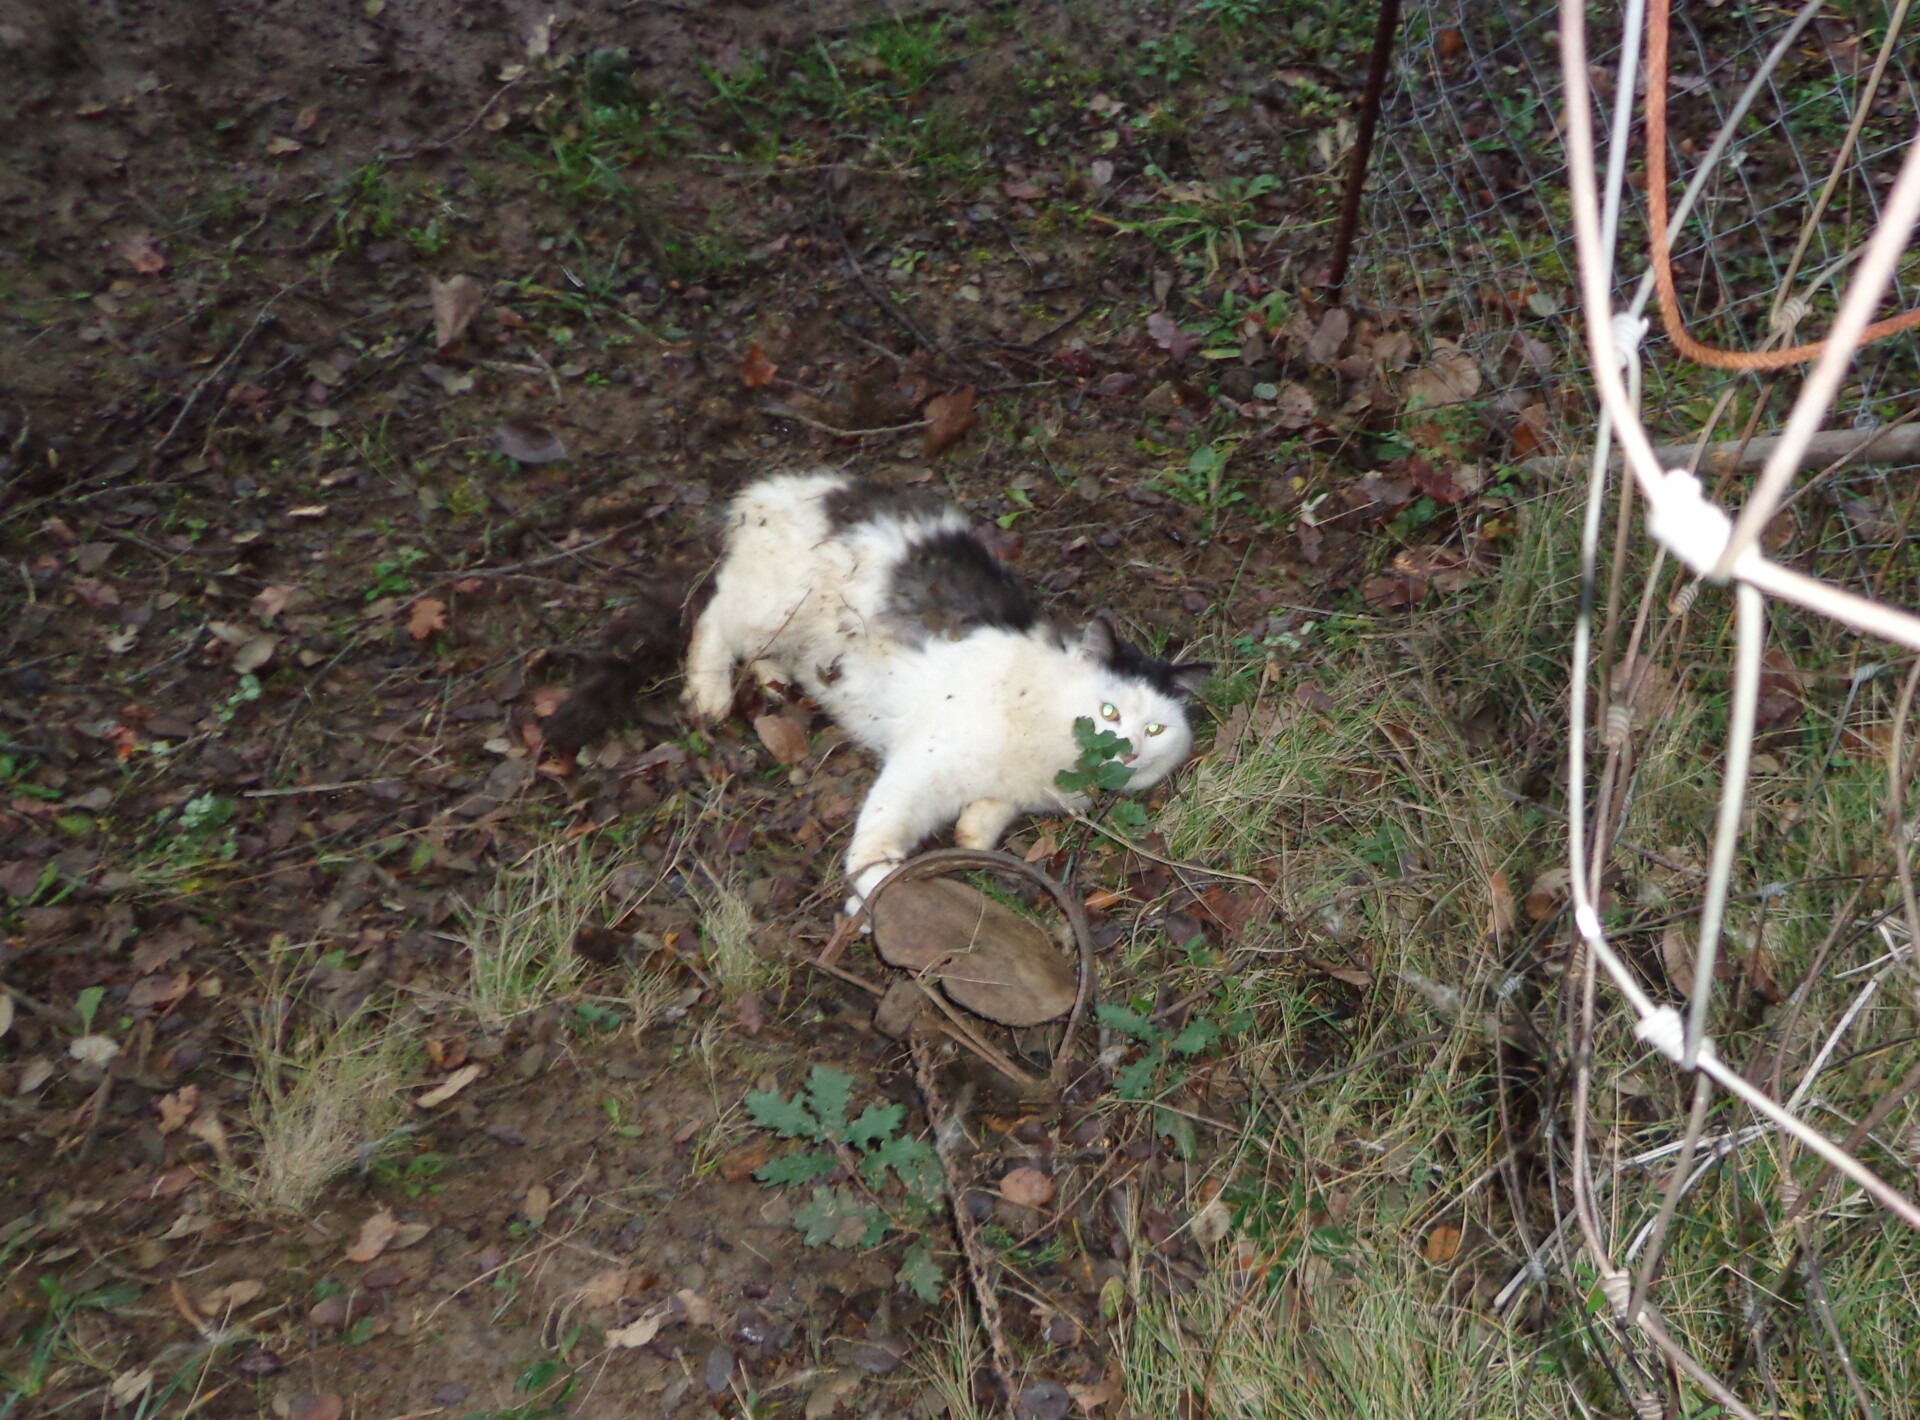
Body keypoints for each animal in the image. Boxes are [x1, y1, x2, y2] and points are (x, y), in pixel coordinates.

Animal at [683, 472, 1205, 905]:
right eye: (1109, 712)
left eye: (1155, 729)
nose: (1129, 750)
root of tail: (782, 490)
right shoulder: (921, 764)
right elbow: (877, 842)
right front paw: (872, 899)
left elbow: (986, 817)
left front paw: (972, 832)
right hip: (771, 609)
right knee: (714, 617)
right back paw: (709, 696)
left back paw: (772, 679)